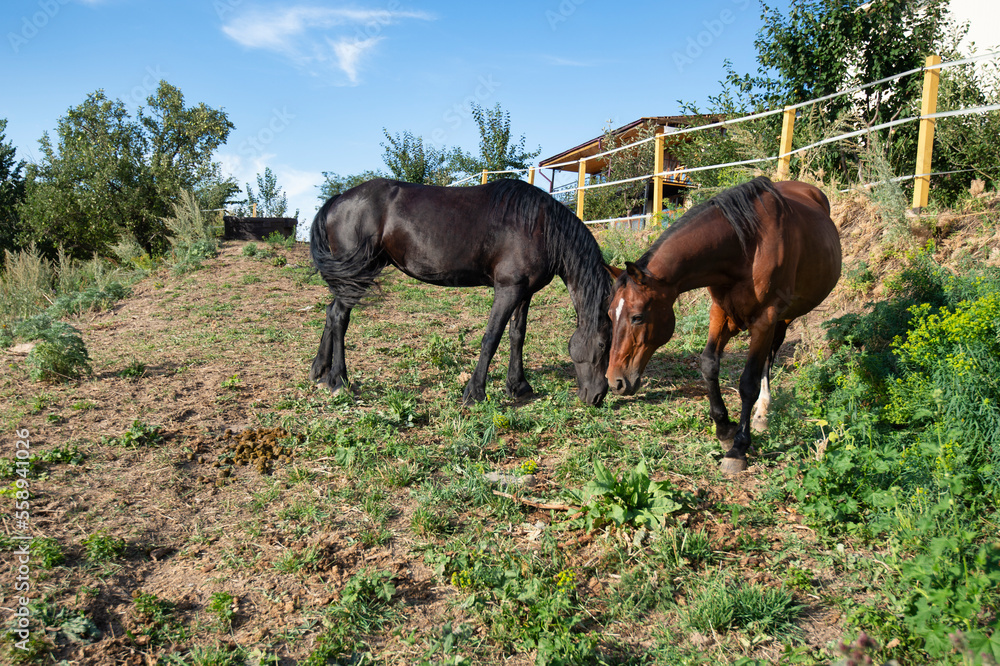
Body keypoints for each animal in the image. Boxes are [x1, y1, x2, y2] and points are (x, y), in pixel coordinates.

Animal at [309, 178, 613, 406]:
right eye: (602, 344)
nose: (599, 395)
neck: (540, 225)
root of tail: (339, 199)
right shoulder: (508, 289)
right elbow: (491, 337)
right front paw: (475, 392)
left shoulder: (524, 292)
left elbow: (517, 335)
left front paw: (519, 386)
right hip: (357, 275)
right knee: (339, 317)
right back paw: (339, 379)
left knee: (330, 312)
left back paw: (320, 371)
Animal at [605, 176, 842, 474]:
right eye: (610, 314)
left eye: (637, 317)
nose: (615, 382)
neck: (746, 247)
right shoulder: (721, 313)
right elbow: (708, 364)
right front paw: (724, 429)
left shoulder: (765, 318)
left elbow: (748, 382)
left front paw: (738, 449)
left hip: (783, 317)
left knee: (769, 358)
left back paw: (762, 412)